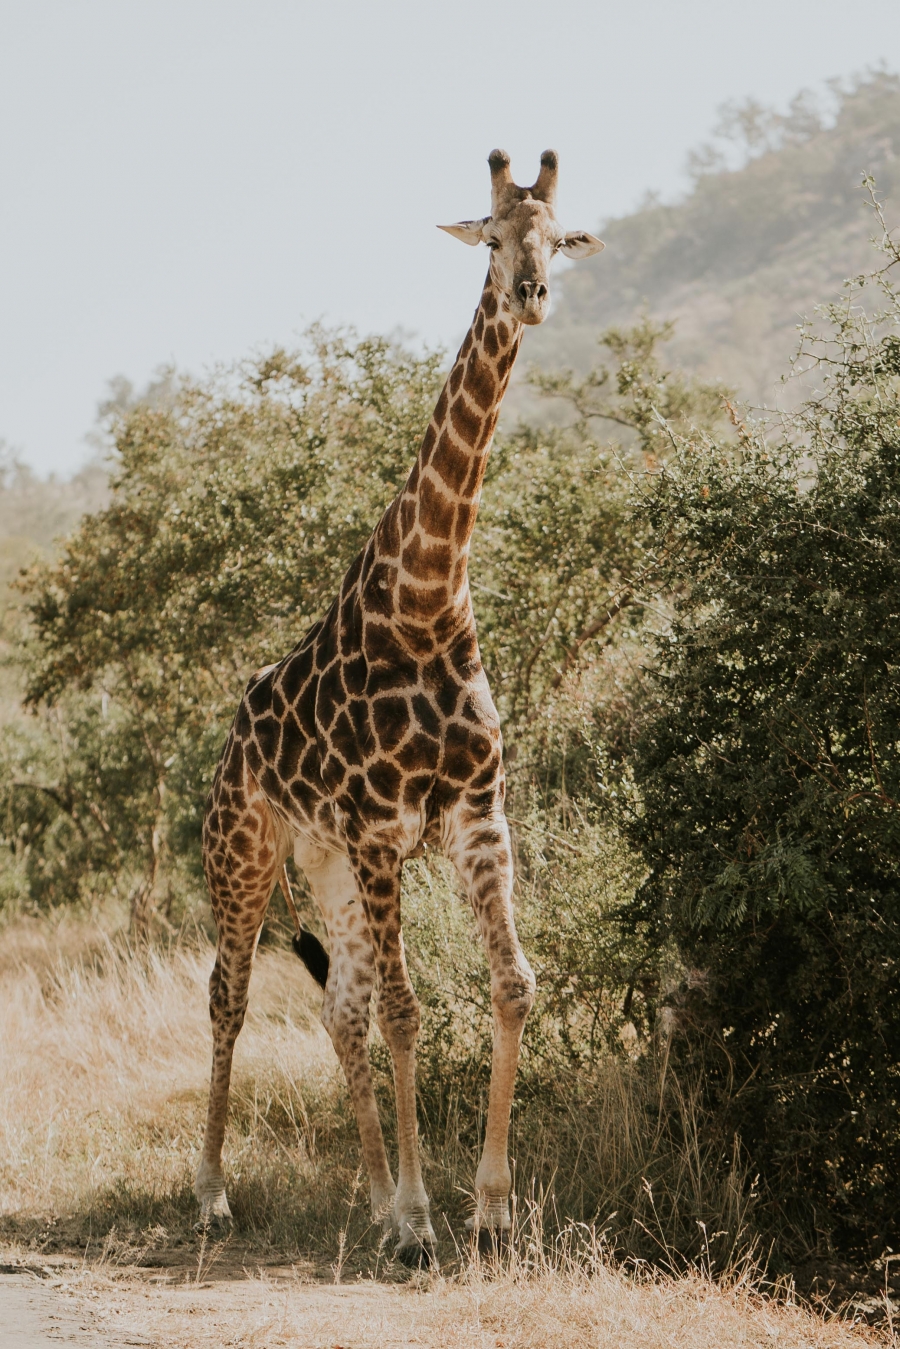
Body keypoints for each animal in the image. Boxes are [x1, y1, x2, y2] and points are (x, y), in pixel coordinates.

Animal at [195, 150, 604, 1262]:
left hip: (323, 862)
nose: (531, 293)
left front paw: (491, 1210)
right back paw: (212, 1192)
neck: (426, 600)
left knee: (339, 1007)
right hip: (245, 849)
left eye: (560, 239)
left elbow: (511, 982)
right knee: (232, 993)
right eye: (492, 237)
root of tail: (231, 737)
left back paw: (374, 1199)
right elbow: (412, 1011)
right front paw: (426, 1217)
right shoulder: (384, 830)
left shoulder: (475, 817)